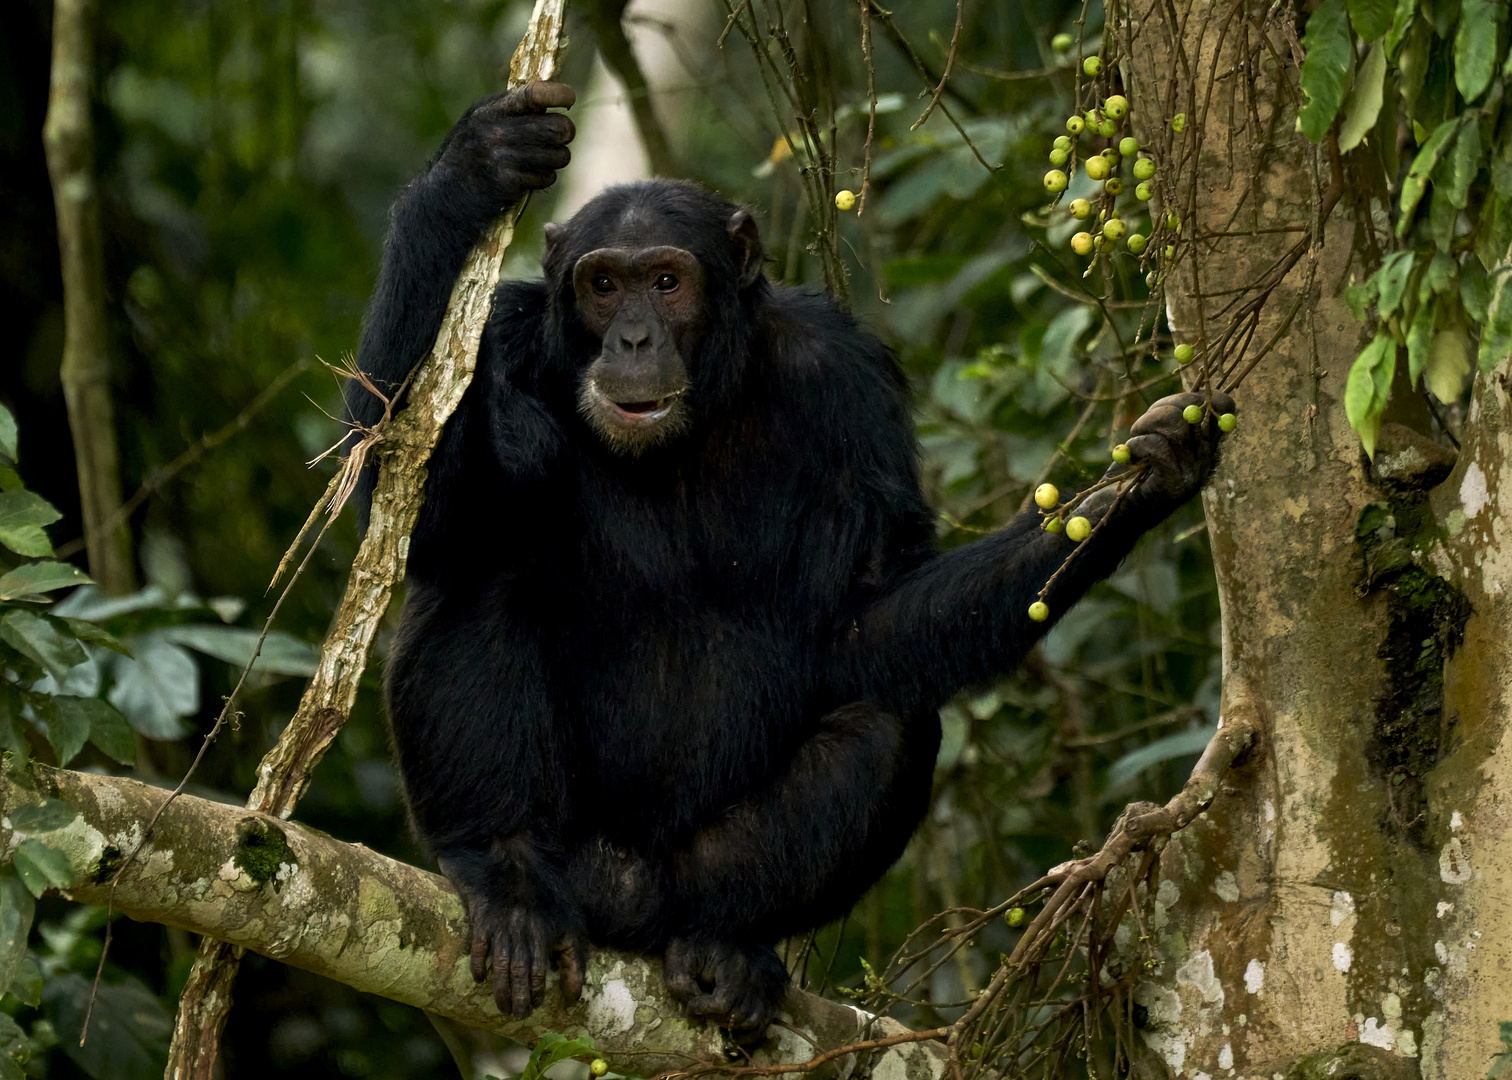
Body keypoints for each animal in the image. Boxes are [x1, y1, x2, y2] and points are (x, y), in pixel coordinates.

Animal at [347, 82, 1233, 1028]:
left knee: (884, 727)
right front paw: (477, 166)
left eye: (667, 282)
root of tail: (626, 896)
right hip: (575, 852)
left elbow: (871, 606)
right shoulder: (507, 331)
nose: (631, 339)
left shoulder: (848, 378)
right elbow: (400, 502)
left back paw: (728, 946)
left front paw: (1130, 492)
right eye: (603, 285)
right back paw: (509, 877)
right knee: (478, 574)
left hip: (689, 872)